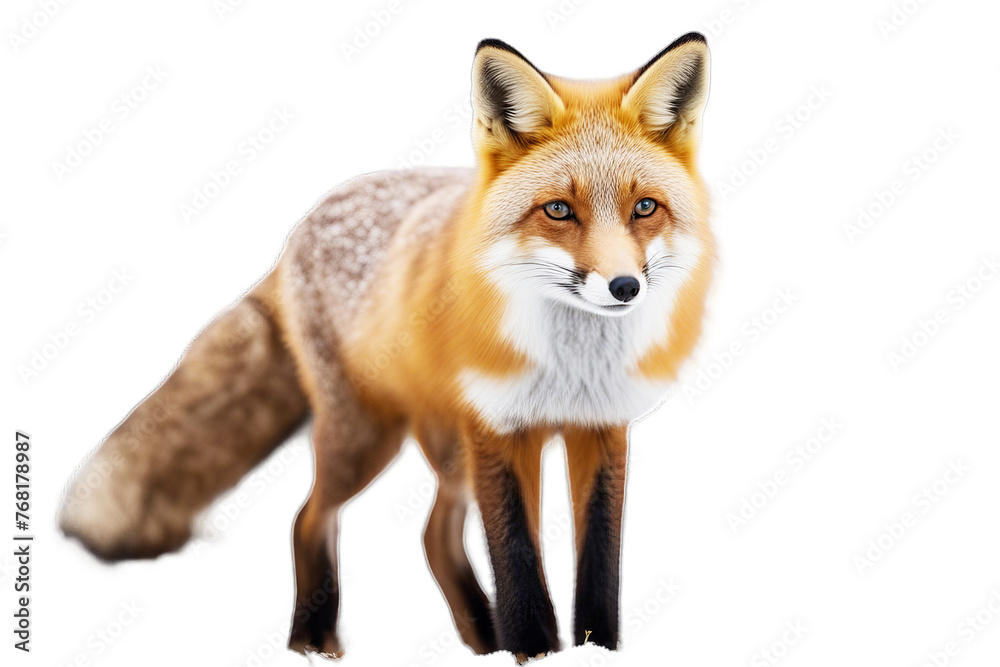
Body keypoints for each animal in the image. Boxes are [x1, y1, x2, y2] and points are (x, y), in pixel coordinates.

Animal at [59, 33, 714, 662]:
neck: (570, 365)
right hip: (367, 438)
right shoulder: (498, 429)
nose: (625, 287)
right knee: (309, 519)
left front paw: (591, 648)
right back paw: (313, 642)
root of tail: (303, 224)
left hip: (444, 450)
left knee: (433, 535)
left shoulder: (600, 430)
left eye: (645, 207)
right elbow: (518, 564)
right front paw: (531, 648)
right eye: (558, 210)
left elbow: (600, 568)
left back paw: (481, 637)